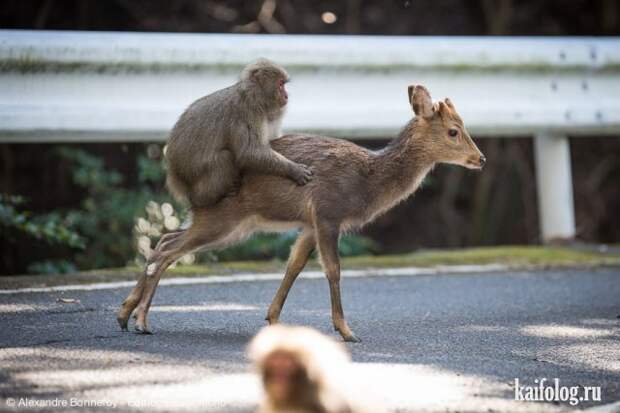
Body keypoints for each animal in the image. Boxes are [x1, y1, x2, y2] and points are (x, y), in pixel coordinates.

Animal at [116, 84, 486, 342]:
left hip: (228, 224)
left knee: (165, 239)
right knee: (168, 250)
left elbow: (293, 266)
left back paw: (125, 315)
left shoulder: (309, 224)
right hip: (224, 219)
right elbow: (333, 270)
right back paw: (141, 321)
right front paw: (347, 331)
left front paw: (273, 319)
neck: (367, 181)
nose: (480, 159)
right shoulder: (327, 212)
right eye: (454, 131)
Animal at [165, 58, 313, 208]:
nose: (286, 96)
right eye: (281, 84)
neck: (254, 97)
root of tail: (175, 174)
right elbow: (249, 152)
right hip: (194, 176)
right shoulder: (247, 113)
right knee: (224, 157)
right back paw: (204, 198)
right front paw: (293, 169)